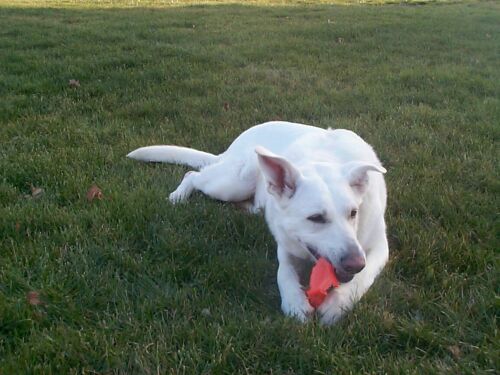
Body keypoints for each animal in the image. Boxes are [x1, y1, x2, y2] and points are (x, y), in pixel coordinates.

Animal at [127, 122, 388, 324]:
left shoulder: (379, 248)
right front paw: (294, 301)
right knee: (193, 175)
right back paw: (178, 196)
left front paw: (337, 303)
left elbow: (363, 279)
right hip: (232, 183)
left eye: (353, 213)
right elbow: (284, 273)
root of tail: (230, 148)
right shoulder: (286, 246)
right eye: (316, 218)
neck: (324, 158)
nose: (355, 263)